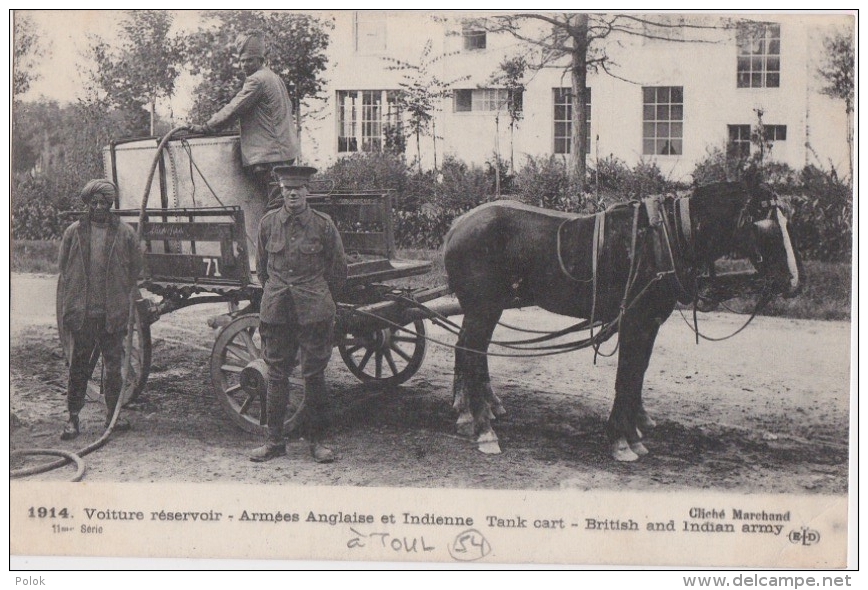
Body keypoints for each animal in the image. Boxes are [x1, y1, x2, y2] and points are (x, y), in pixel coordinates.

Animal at [444, 180, 804, 462]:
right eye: (766, 226)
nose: (793, 282)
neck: (666, 237)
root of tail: (457, 225)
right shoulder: (635, 319)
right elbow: (627, 375)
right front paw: (621, 440)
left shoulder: (651, 321)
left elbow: (637, 375)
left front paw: (633, 435)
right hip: (483, 307)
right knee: (470, 353)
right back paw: (483, 429)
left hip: (489, 307)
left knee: (471, 352)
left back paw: (472, 414)